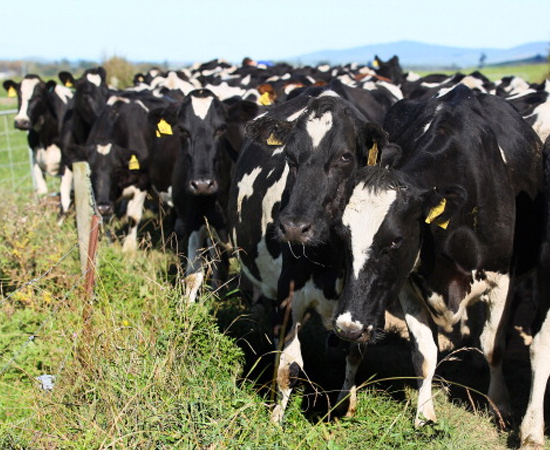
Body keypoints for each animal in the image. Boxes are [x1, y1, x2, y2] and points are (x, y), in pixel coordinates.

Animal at [1, 76, 73, 211]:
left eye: (39, 96)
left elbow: (65, 194)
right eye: (19, 95)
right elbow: (42, 190)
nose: (21, 122)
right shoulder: (35, 157)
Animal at [231, 90, 390, 422]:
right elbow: (289, 367)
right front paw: (275, 419)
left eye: (344, 156)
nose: (294, 227)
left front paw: (345, 405)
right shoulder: (288, 296)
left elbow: (354, 353)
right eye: (290, 157)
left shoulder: (364, 304)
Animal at [330, 85, 544, 442]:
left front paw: (500, 407)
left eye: (395, 240)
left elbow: (494, 346)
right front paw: (424, 415)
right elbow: (424, 354)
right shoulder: (408, 284)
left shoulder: (503, 280)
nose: (348, 327)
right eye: (342, 235)